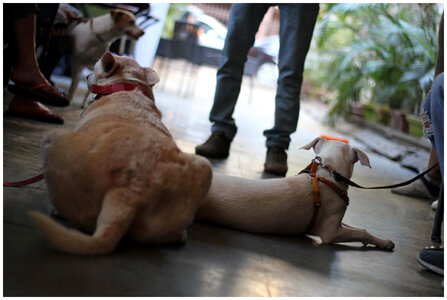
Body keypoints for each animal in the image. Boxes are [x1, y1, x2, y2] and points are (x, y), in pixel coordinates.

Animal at [28, 52, 213, 254]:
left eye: (95, 69)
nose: (86, 76)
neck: (126, 84)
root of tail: (129, 192)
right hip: (204, 168)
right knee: (146, 236)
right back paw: (179, 235)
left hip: (53, 138)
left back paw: (57, 210)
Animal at [197, 137, 396, 250]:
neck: (327, 173)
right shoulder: (331, 231)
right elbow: (361, 232)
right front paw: (384, 243)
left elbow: (355, 226)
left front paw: (383, 240)